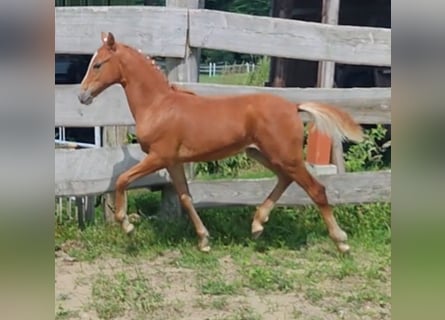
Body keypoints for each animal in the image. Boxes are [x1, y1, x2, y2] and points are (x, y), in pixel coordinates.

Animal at [78, 32, 362, 252]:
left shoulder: (159, 156)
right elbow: (185, 197)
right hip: (262, 154)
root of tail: (294, 107)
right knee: (285, 179)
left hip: (285, 156)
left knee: (316, 189)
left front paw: (126, 225)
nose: (82, 96)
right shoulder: (173, 161)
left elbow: (123, 179)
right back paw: (257, 225)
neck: (159, 106)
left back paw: (341, 241)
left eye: (98, 64)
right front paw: (204, 240)